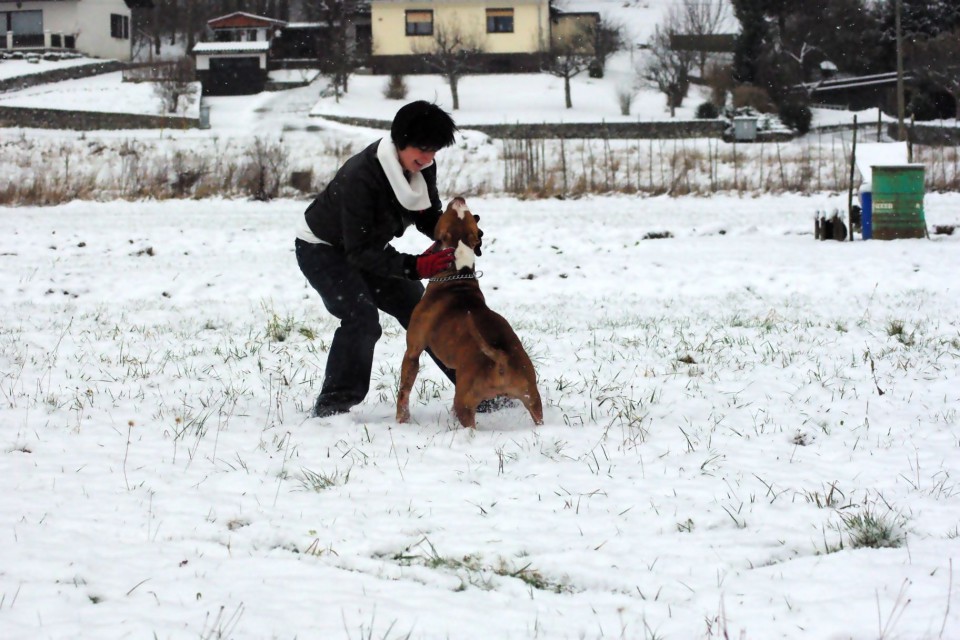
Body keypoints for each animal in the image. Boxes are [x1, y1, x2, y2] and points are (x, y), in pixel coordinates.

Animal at [396, 195, 544, 428]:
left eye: (451, 212)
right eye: (466, 215)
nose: (459, 198)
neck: (459, 270)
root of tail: (500, 358)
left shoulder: (413, 350)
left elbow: (404, 389)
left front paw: (402, 419)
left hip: (464, 402)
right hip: (533, 397)